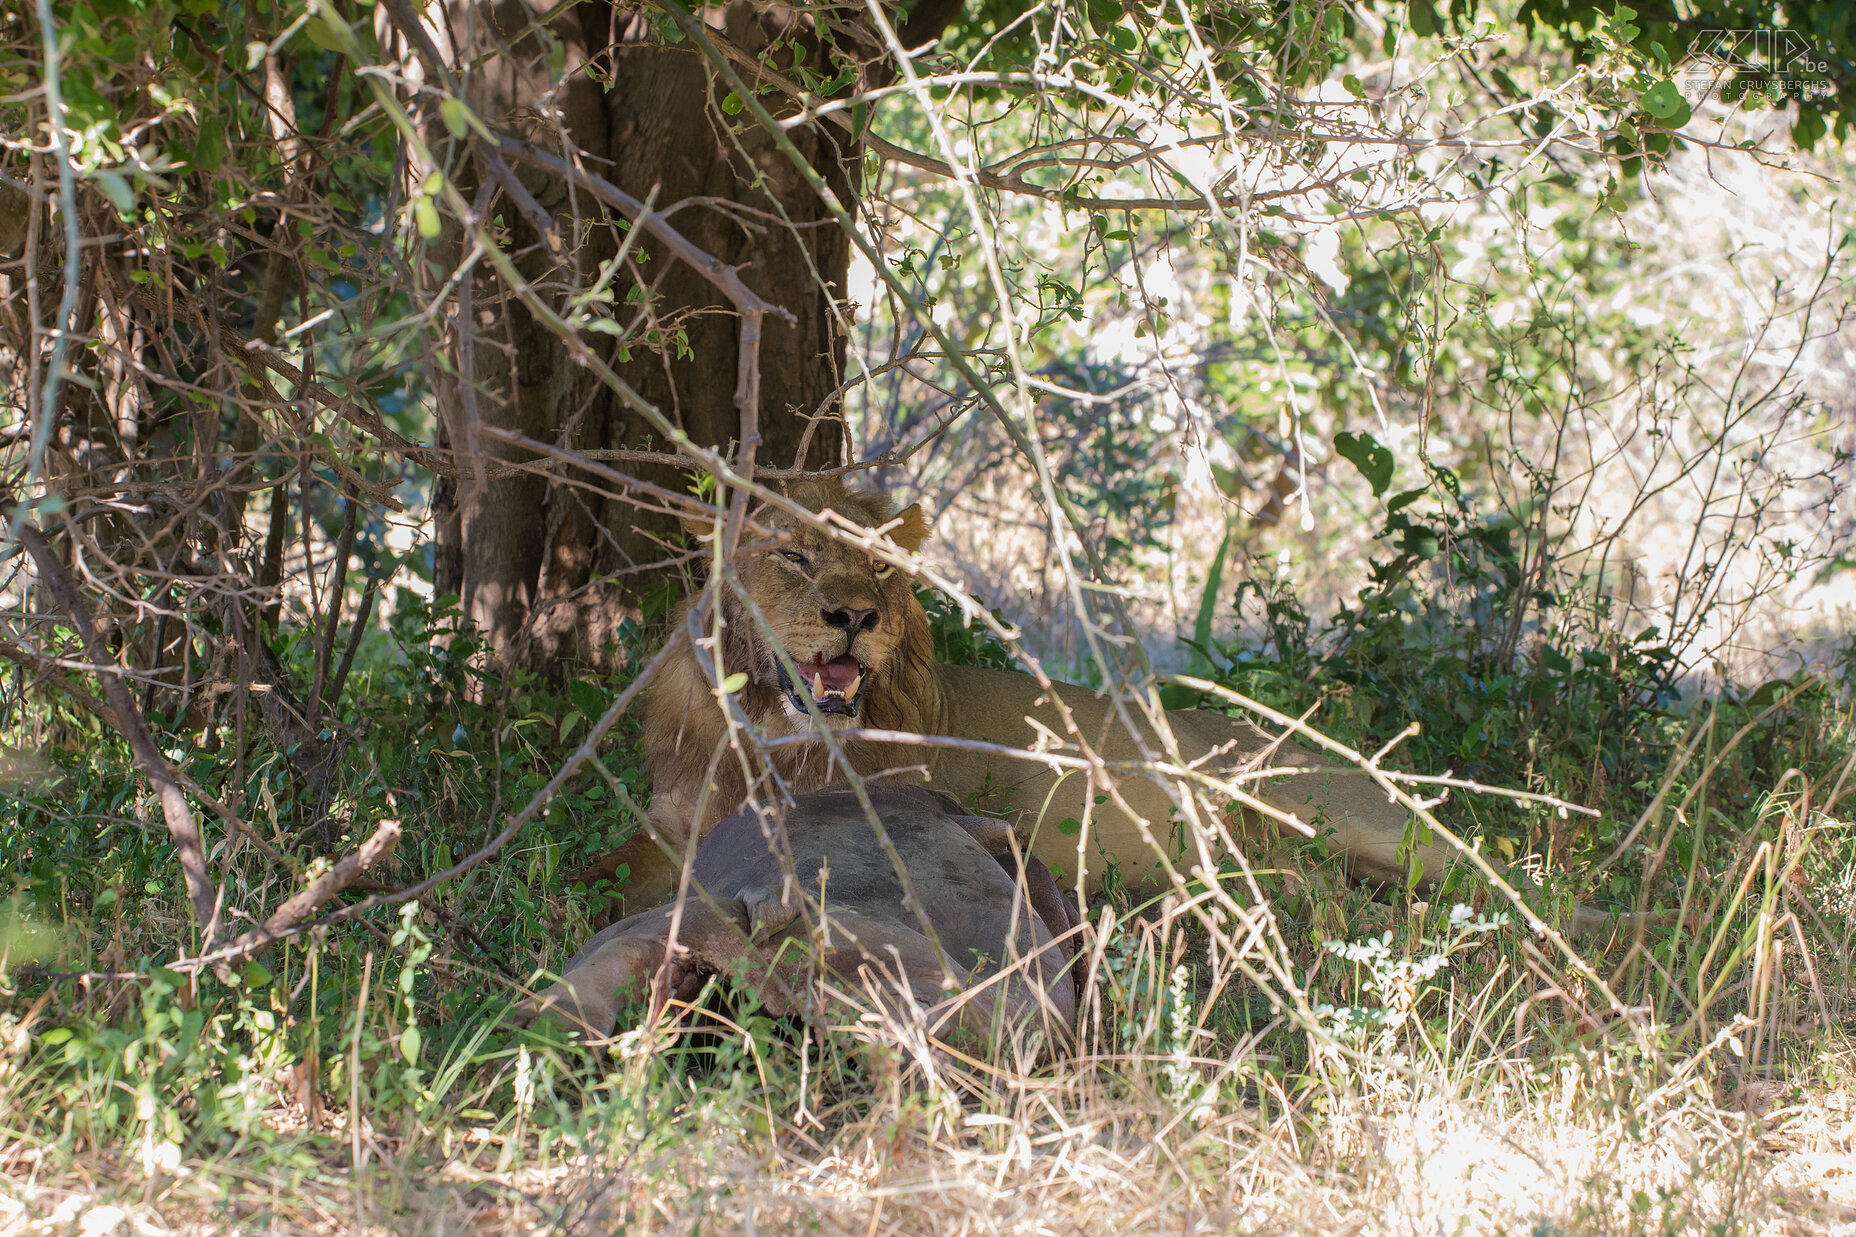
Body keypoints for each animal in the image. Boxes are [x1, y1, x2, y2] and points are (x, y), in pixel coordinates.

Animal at [586, 473, 1484, 913]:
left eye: (878, 564)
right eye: (794, 556)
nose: (856, 616)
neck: (773, 727)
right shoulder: (671, 815)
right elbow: (605, 869)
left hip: (1360, 817)